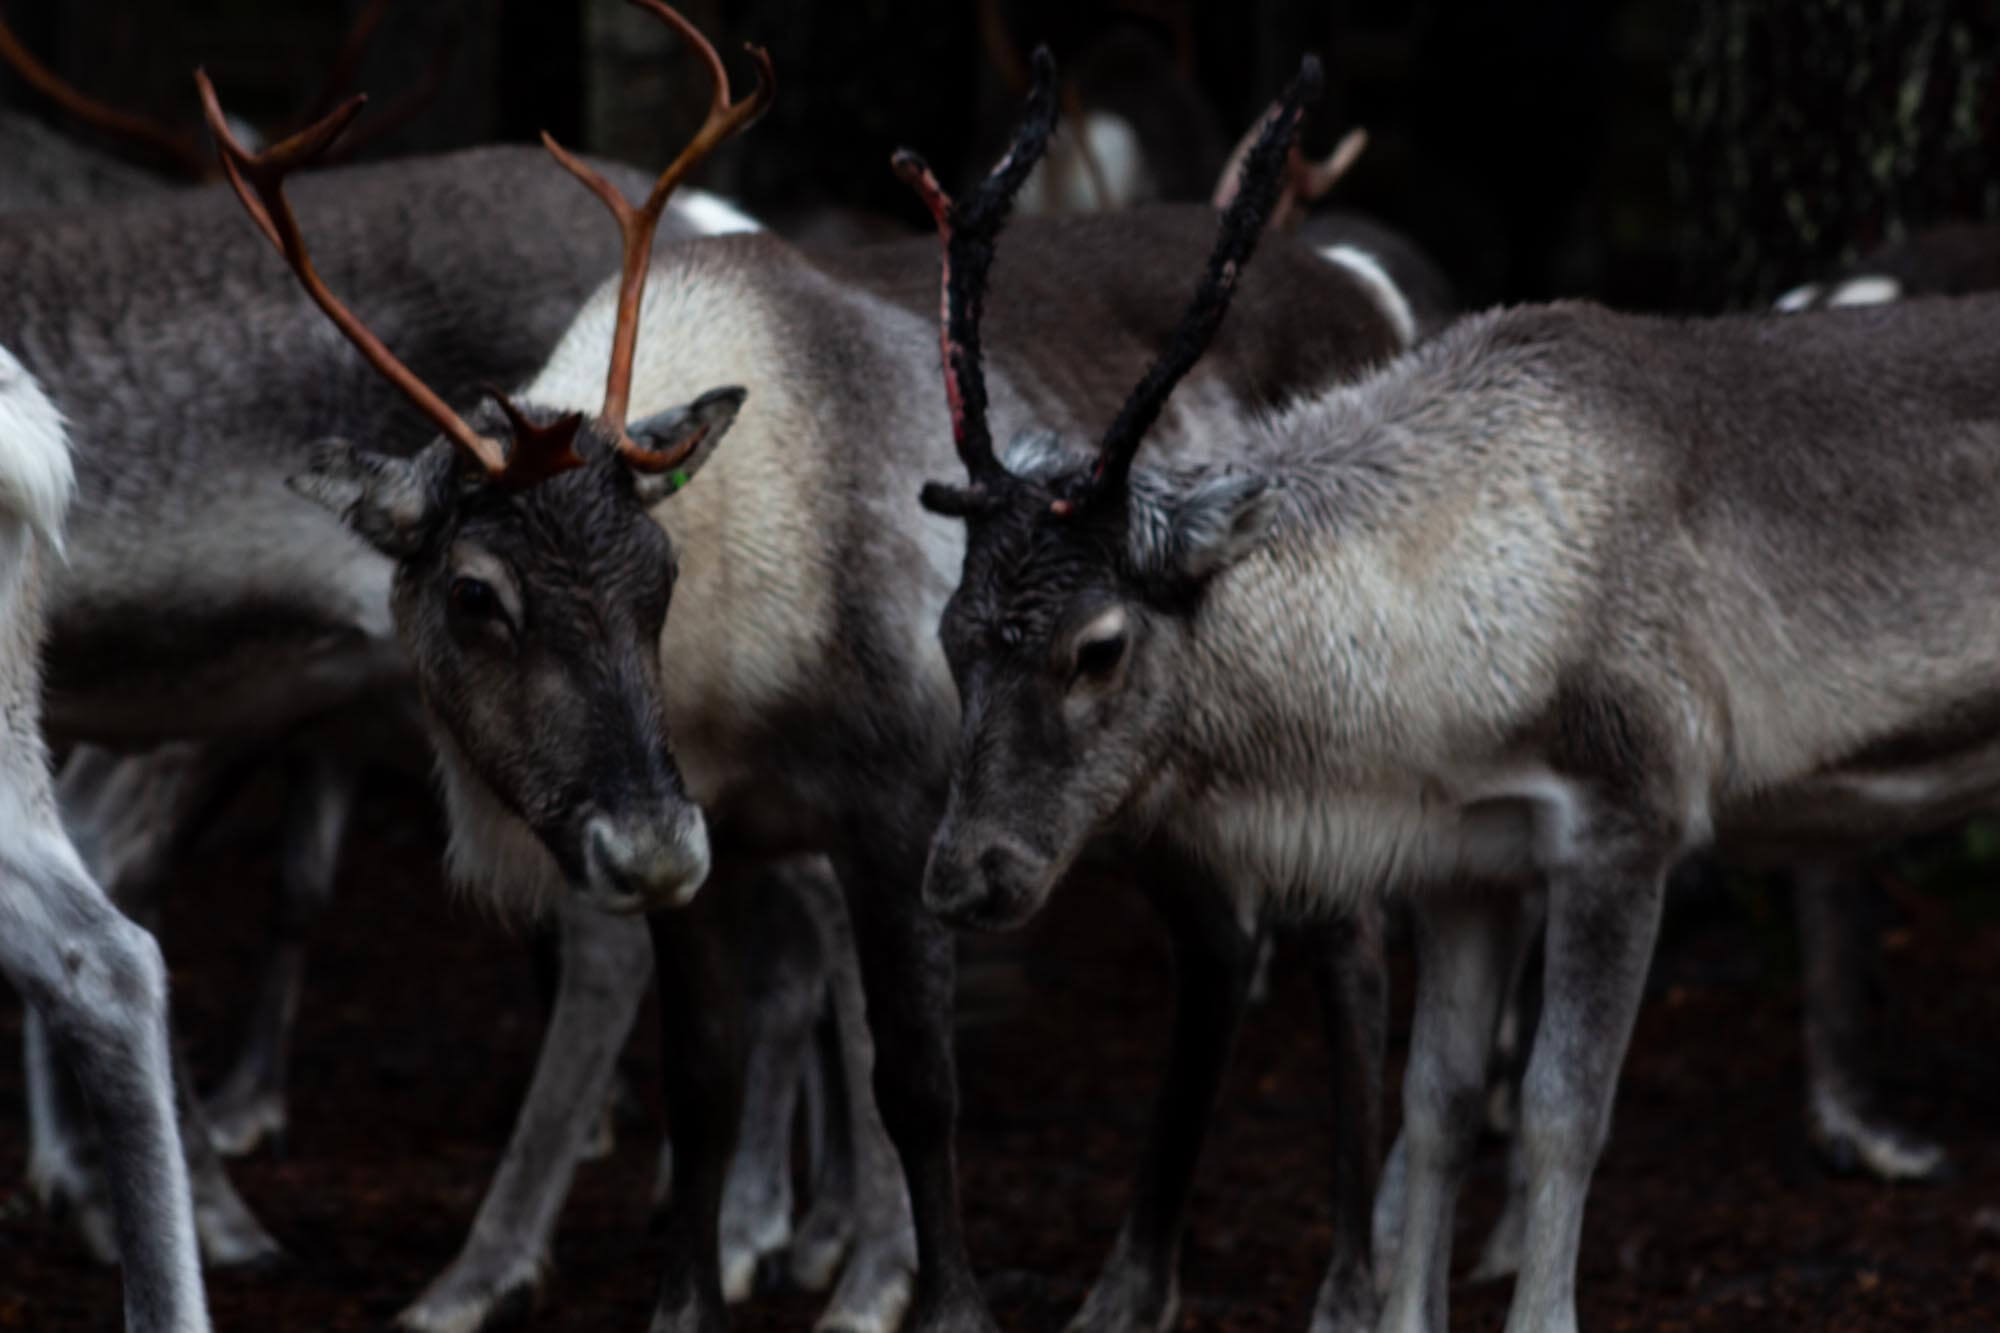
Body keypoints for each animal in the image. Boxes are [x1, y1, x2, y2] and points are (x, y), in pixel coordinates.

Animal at [908, 34, 2000, 1333]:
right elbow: (1432, 1103)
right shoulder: (1464, 860)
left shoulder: (1628, 816)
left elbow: (1558, 1112)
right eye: (951, 632)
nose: (965, 876)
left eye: (1098, 645)